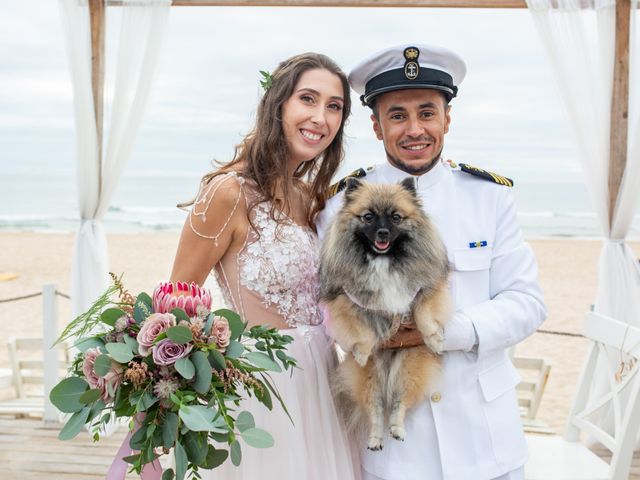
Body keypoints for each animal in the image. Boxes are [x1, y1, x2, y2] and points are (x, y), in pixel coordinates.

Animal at [318, 176, 450, 450]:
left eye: (396, 218)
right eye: (368, 217)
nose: (383, 232)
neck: (384, 260)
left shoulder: (425, 287)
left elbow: (425, 313)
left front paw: (434, 338)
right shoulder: (346, 300)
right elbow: (359, 328)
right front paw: (362, 350)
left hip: (409, 367)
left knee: (400, 402)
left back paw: (397, 428)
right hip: (370, 378)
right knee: (375, 409)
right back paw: (375, 437)